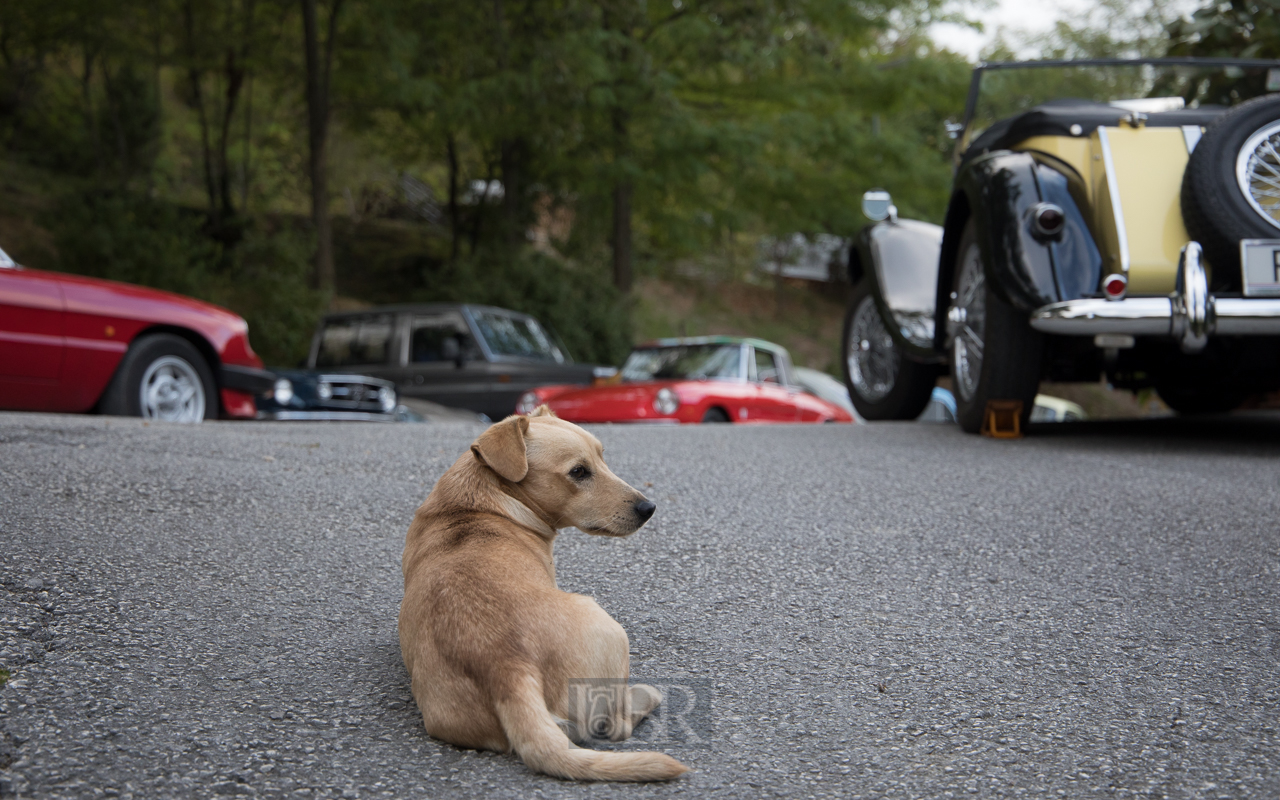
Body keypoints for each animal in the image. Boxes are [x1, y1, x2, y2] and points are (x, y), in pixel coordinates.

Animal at [396, 404, 691, 778]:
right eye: (578, 472)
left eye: (602, 457)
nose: (648, 508)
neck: (478, 504)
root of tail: (508, 670)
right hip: (608, 627)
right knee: (616, 725)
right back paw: (646, 696)